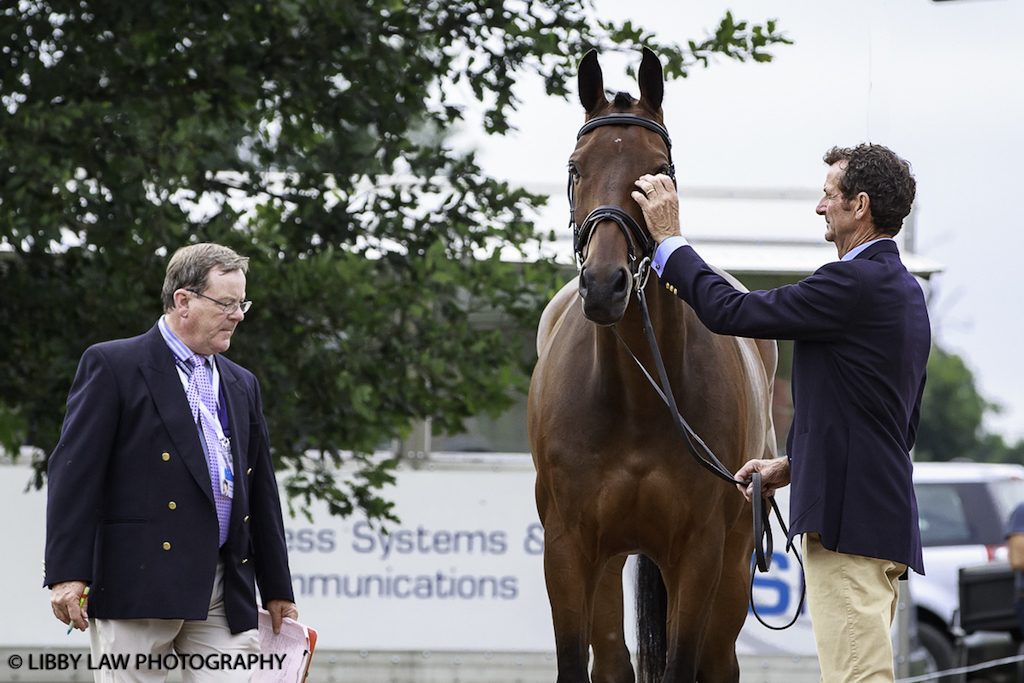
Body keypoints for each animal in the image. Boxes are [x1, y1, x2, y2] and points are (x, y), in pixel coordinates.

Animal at [528, 49, 774, 683]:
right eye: (576, 168)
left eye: (659, 169)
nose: (604, 284)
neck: (638, 399)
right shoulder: (568, 549)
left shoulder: (699, 552)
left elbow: (683, 665)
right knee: (614, 663)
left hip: (734, 566)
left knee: (718, 664)